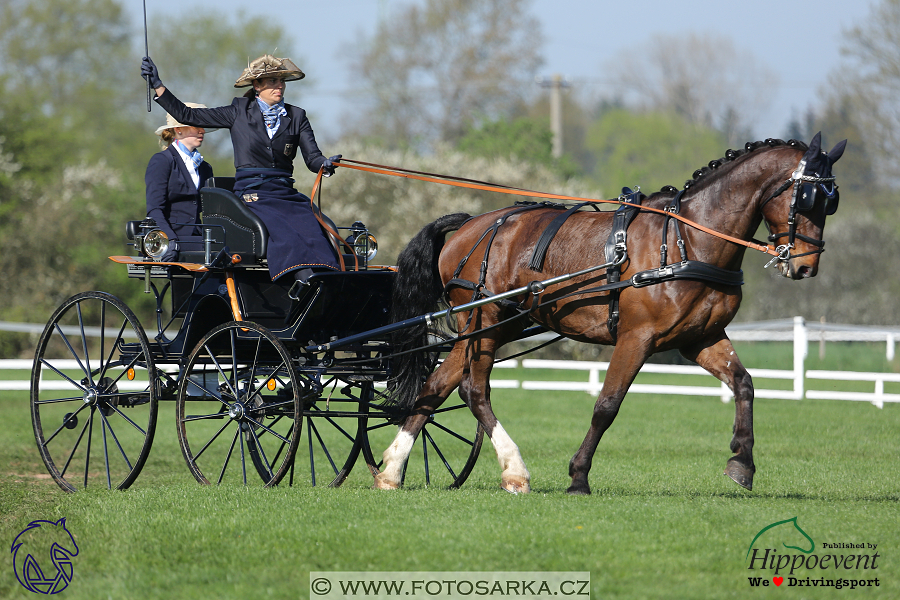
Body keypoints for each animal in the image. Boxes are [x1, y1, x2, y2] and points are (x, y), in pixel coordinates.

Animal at [372, 134, 844, 494]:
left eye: (831, 201)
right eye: (808, 197)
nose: (806, 267)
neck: (687, 240)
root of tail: (472, 224)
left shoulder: (700, 339)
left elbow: (744, 384)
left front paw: (742, 463)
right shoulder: (637, 337)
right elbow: (607, 406)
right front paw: (578, 477)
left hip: (494, 326)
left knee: (438, 385)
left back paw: (393, 470)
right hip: (483, 320)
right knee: (474, 389)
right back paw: (514, 469)